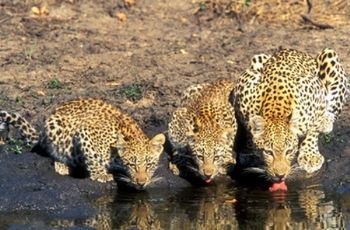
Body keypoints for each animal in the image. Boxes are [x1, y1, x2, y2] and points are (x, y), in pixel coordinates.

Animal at [0, 98, 165, 190]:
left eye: (149, 165)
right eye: (131, 165)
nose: (141, 183)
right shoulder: (85, 132)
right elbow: (92, 158)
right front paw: (101, 175)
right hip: (55, 128)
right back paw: (62, 166)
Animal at [231, 49, 348, 185]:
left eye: (289, 151)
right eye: (268, 152)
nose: (280, 176)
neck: (276, 110)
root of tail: (295, 51)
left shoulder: (318, 96)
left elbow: (314, 128)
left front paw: (310, 156)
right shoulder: (241, 93)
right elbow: (248, 130)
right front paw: (249, 152)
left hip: (330, 57)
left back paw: (327, 121)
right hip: (257, 59)